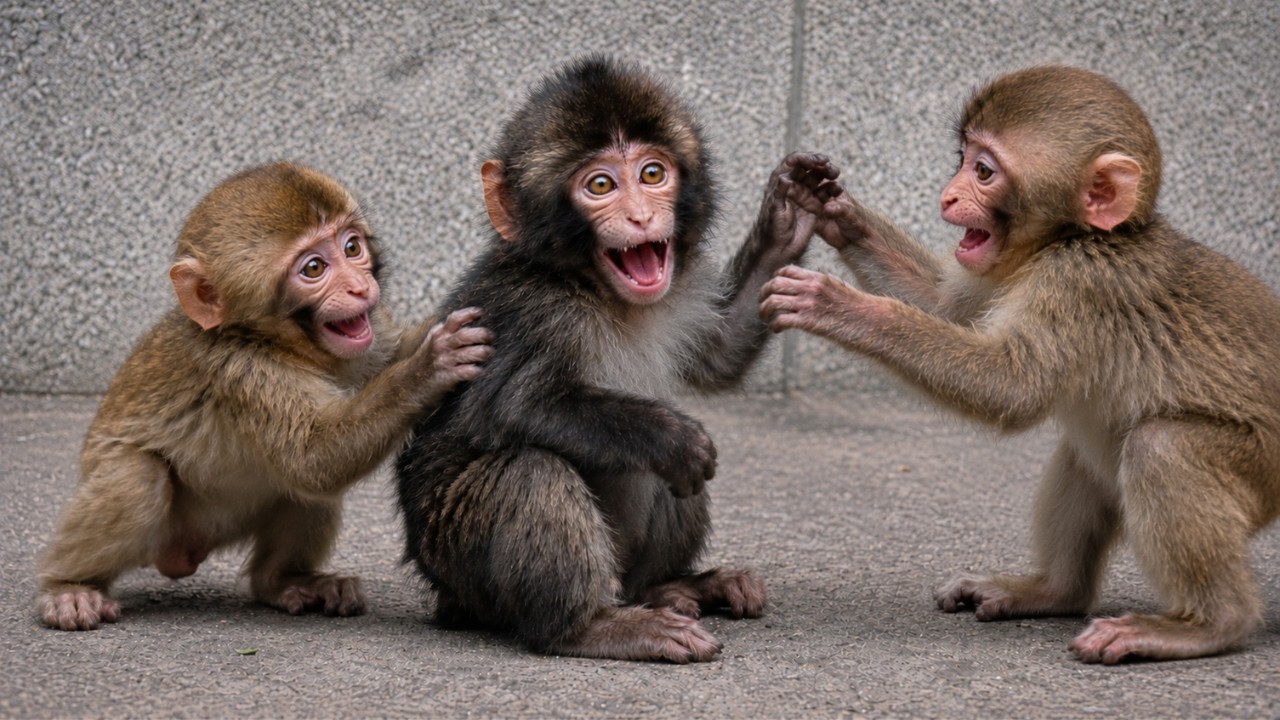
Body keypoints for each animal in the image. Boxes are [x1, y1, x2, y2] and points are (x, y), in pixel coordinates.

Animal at [36, 161, 494, 631]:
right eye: (314, 268)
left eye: (352, 247)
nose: (359, 287)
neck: (278, 345)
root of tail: (184, 553)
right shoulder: (243, 374)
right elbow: (314, 460)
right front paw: (430, 366)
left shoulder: (368, 335)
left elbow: (387, 358)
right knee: (138, 477)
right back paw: (69, 586)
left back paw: (283, 580)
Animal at [394, 56, 831, 663]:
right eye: (600, 185)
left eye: (651, 174)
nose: (643, 217)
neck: (598, 292)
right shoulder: (534, 311)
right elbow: (513, 407)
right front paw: (673, 437)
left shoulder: (681, 288)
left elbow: (718, 354)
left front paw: (786, 217)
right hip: (456, 563)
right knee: (531, 470)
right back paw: (591, 626)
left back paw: (672, 587)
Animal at [760, 65, 1280, 664]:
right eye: (961, 158)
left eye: (983, 171)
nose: (947, 196)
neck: (1075, 237)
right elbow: (948, 307)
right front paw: (831, 207)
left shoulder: (1080, 283)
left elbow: (1011, 388)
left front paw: (842, 307)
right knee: (1087, 451)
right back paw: (1055, 592)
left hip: (1261, 468)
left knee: (1160, 447)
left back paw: (1209, 624)